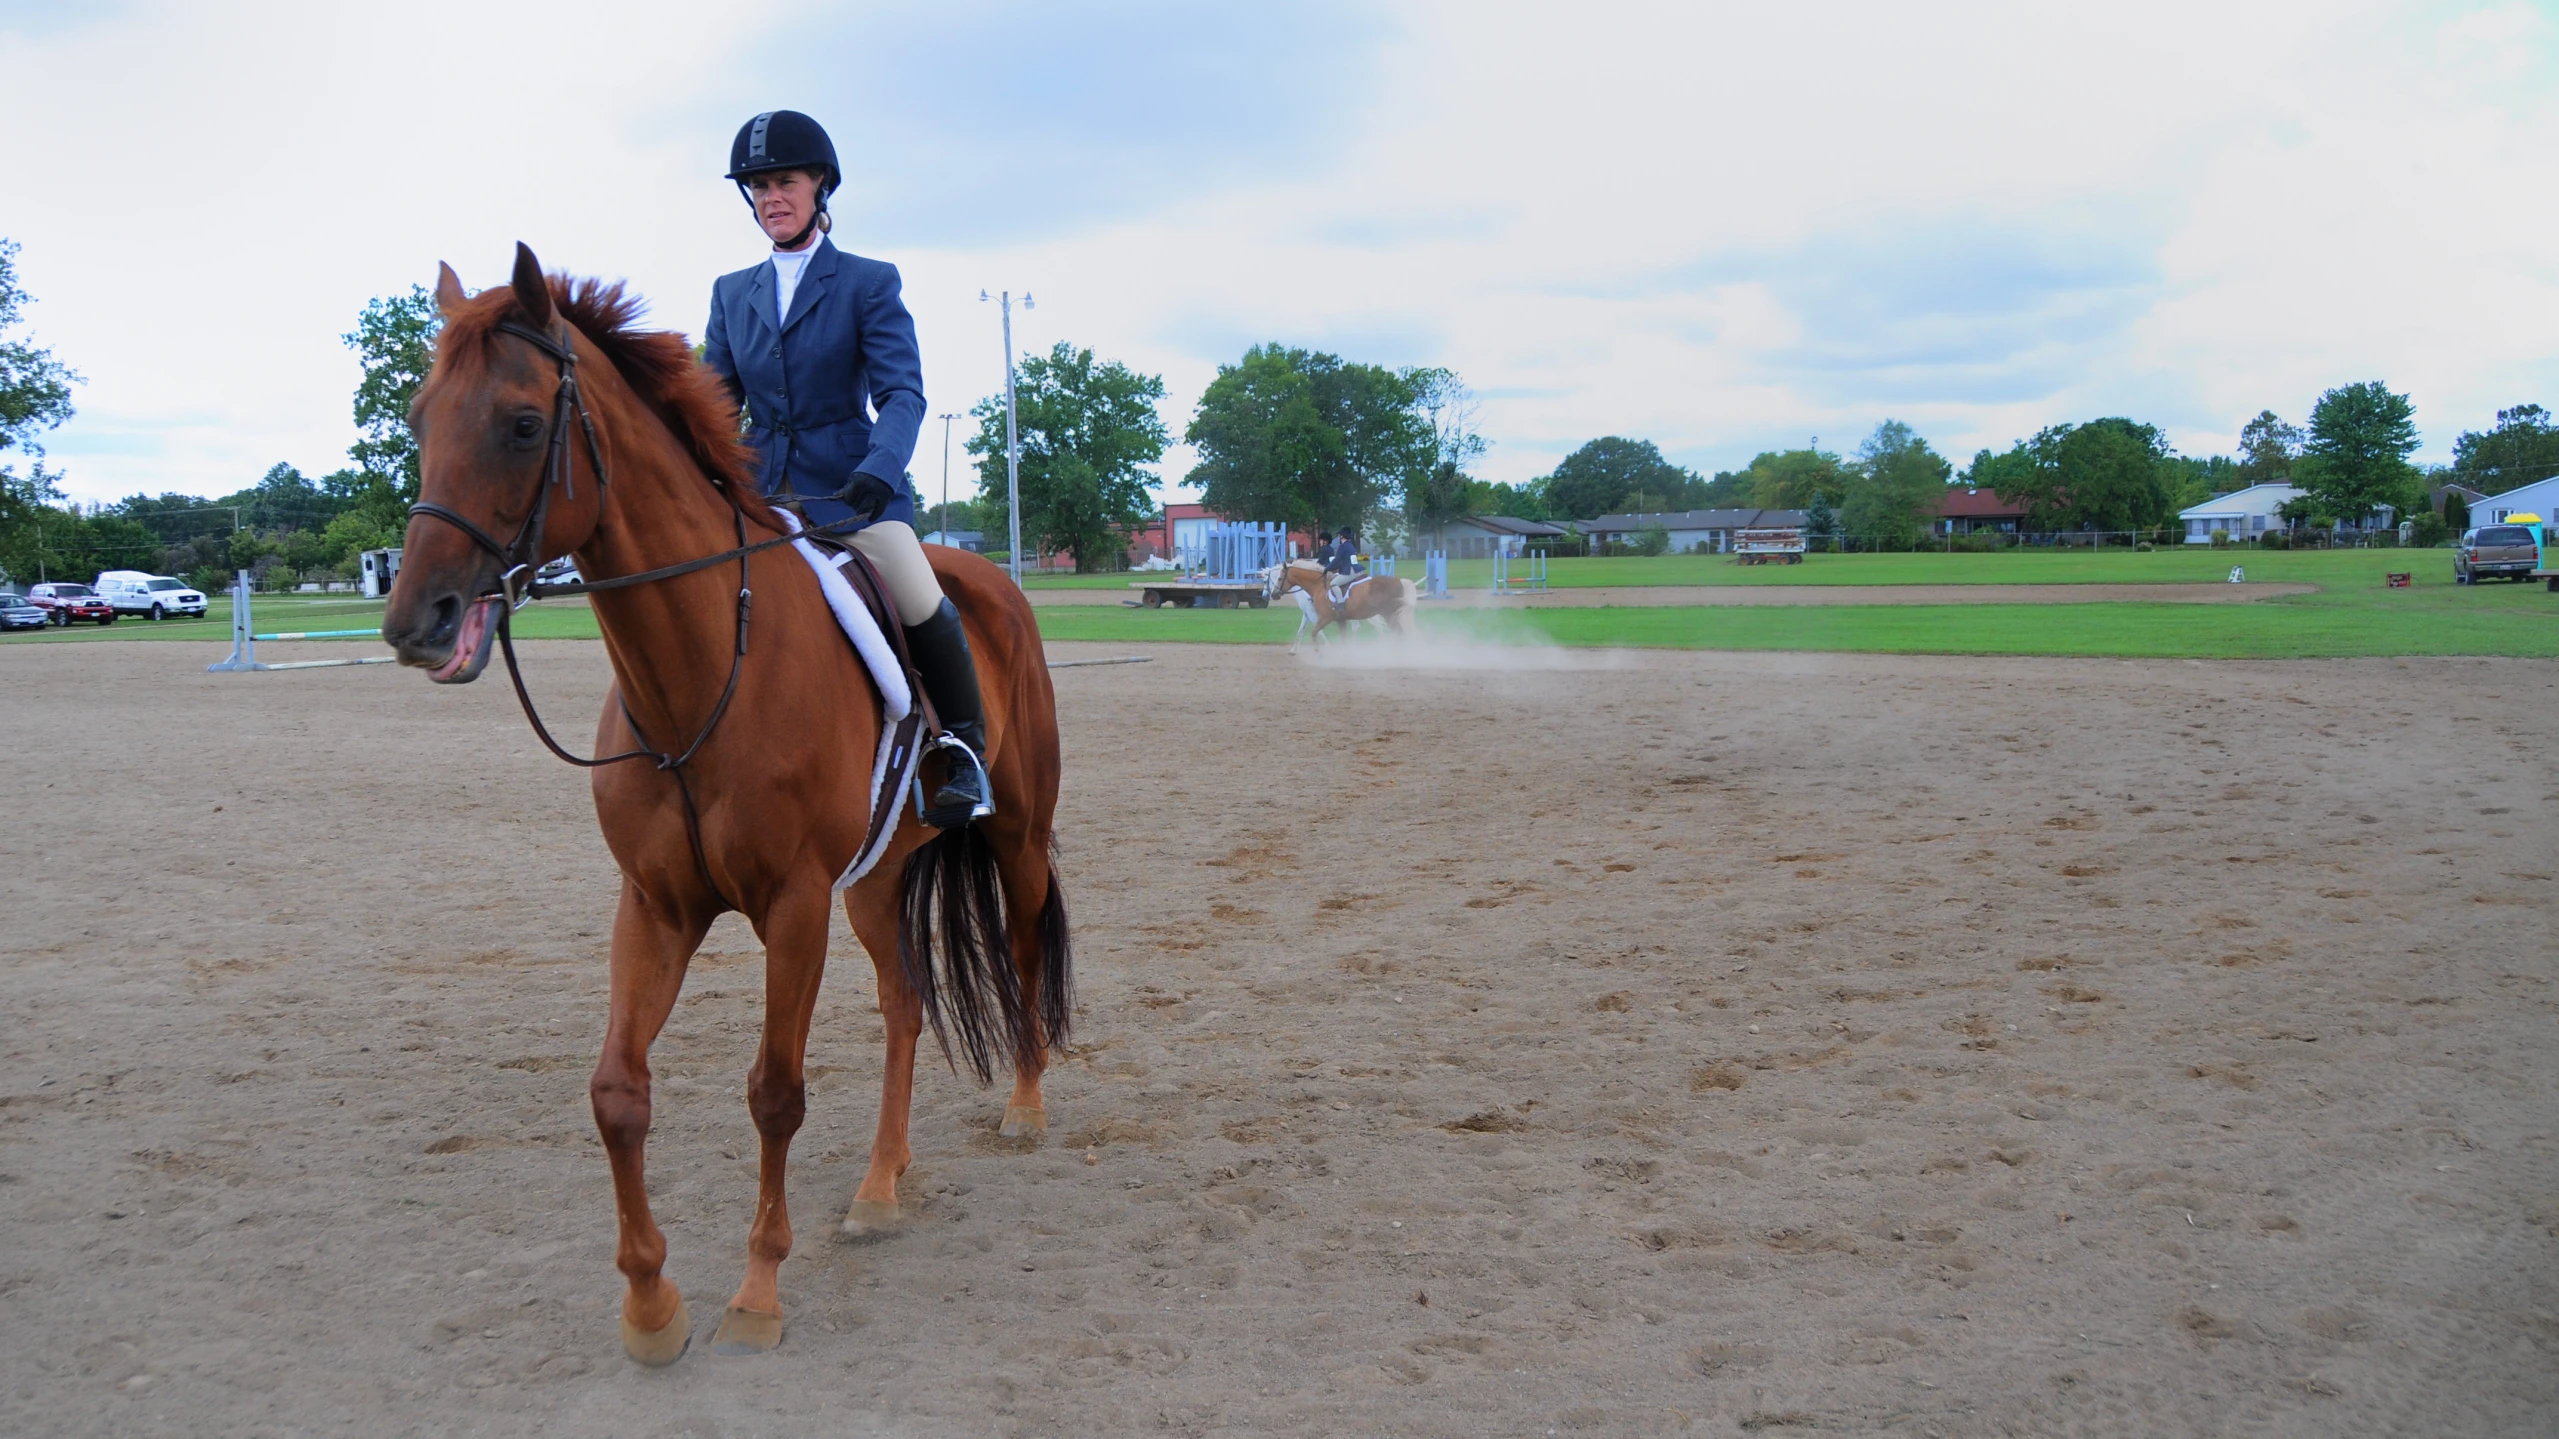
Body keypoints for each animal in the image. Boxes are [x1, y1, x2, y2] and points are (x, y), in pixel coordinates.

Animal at [378, 249, 1069, 1362]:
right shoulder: (657, 904)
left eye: (522, 424)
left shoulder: (791, 906)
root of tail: (990, 581)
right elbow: (616, 1091)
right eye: (418, 416)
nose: (416, 620)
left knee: (1018, 945)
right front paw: (650, 1305)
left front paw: (756, 1292)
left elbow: (774, 1094)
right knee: (905, 1004)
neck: (697, 672)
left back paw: (1025, 1107)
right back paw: (880, 1185)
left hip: (1014, 836)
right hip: (873, 881)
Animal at [1259, 555, 1422, 650]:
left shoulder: (1319, 615)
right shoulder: (1311, 614)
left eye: (1278, 578)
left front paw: (1327, 647)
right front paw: (1293, 650)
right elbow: (1301, 631)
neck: (1317, 586)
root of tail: (1398, 580)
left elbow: (1316, 631)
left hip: (1387, 613)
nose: (1270, 595)